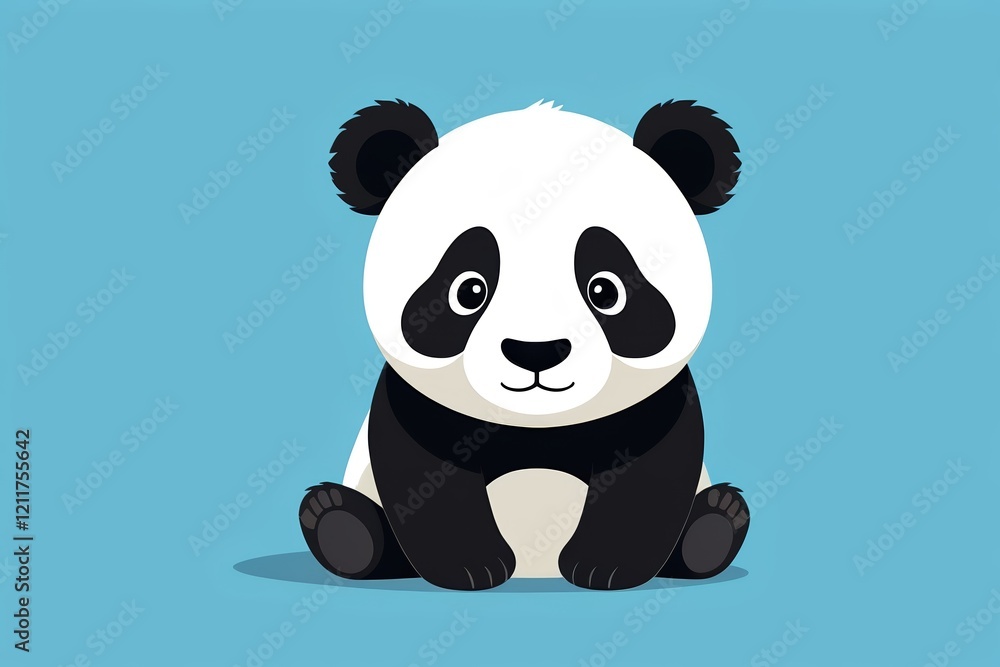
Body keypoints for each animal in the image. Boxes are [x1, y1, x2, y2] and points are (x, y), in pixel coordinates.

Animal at [298, 98, 749, 591]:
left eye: (606, 290)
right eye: (468, 290)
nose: (536, 351)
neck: (537, 426)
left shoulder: (659, 402)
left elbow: (649, 471)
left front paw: (604, 567)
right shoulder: (413, 401)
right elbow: (425, 473)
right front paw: (471, 567)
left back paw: (714, 526)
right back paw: (341, 525)